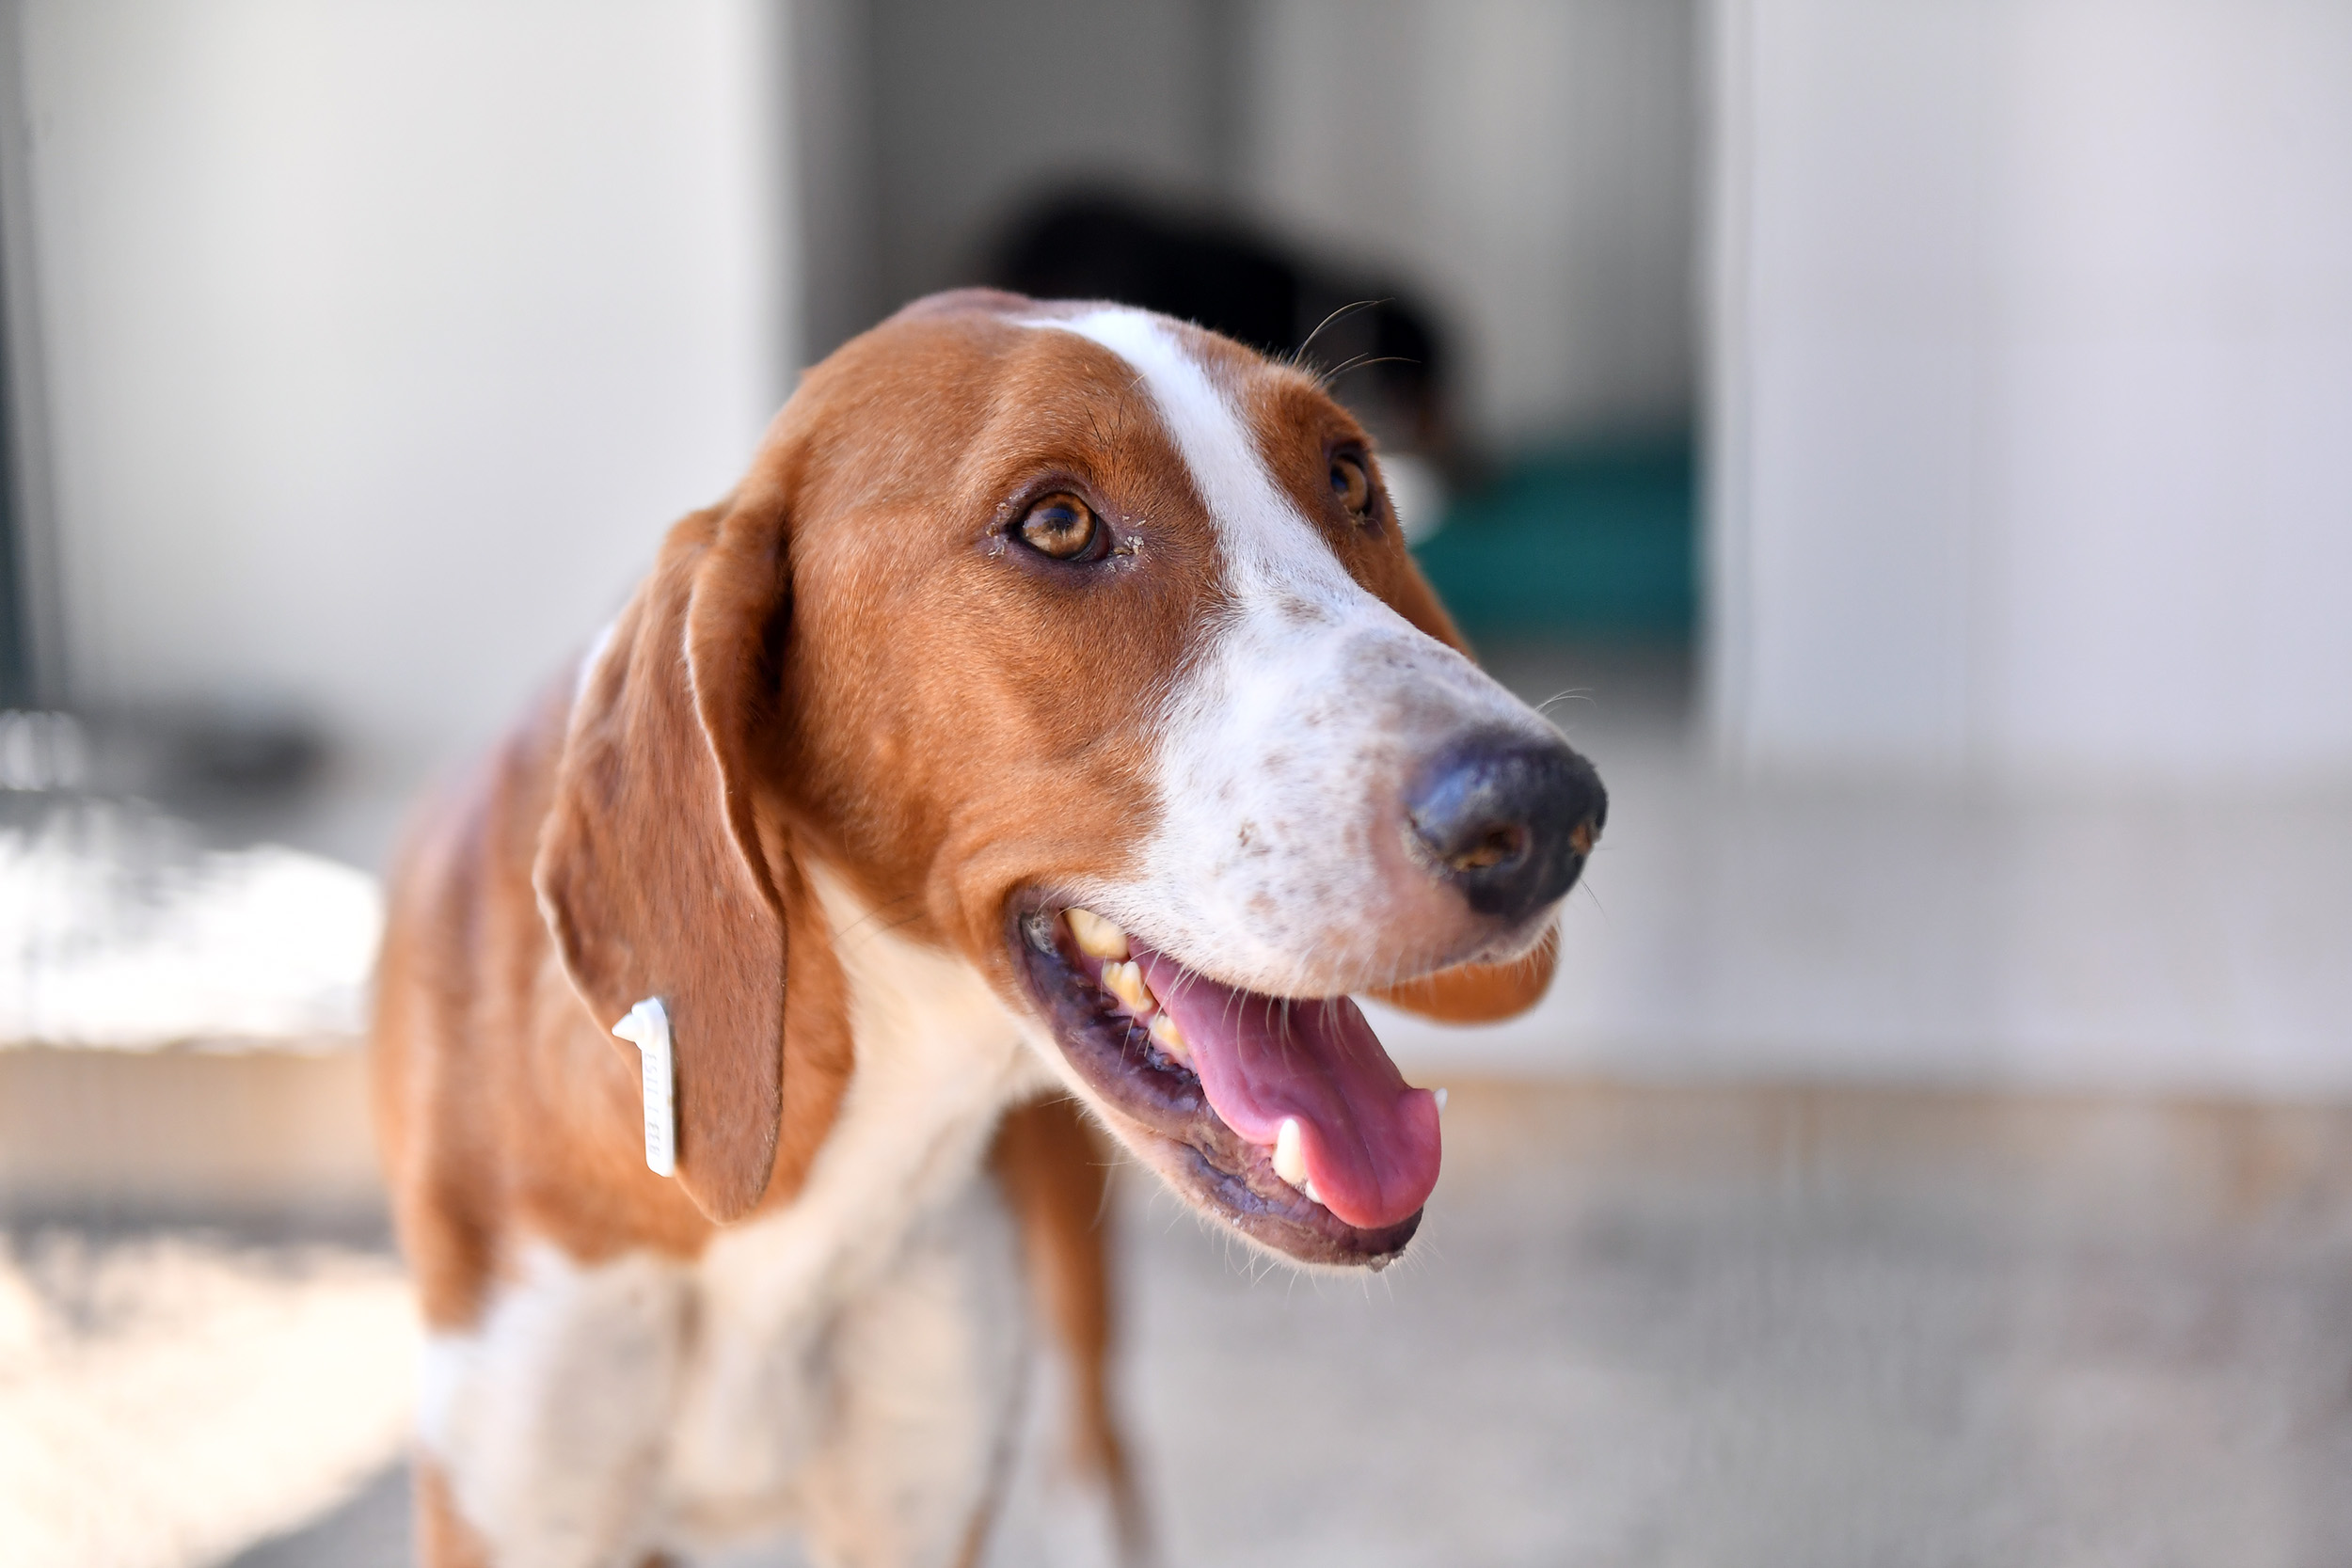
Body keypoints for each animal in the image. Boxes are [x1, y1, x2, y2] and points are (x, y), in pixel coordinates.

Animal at [372, 288, 1599, 1560]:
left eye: (1350, 476)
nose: (1545, 811)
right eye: (1057, 523)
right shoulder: (512, 1506)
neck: (802, 1193)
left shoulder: (917, 1493)